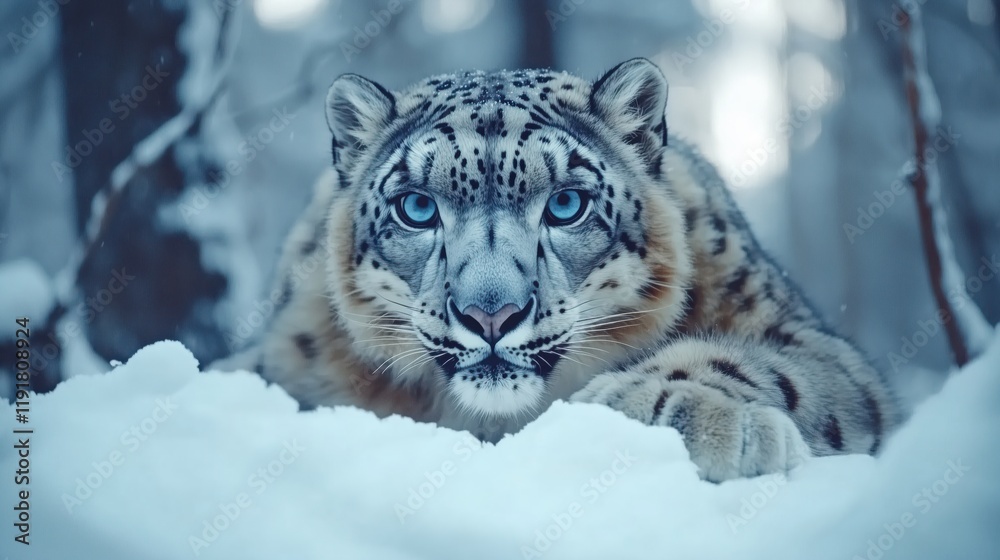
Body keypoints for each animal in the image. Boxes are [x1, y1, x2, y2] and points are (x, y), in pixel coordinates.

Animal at [219, 58, 900, 482]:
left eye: (566, 204)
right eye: (417, 207)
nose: (490, 314)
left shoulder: (804, 337)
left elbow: (769, 366)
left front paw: (666, 407)